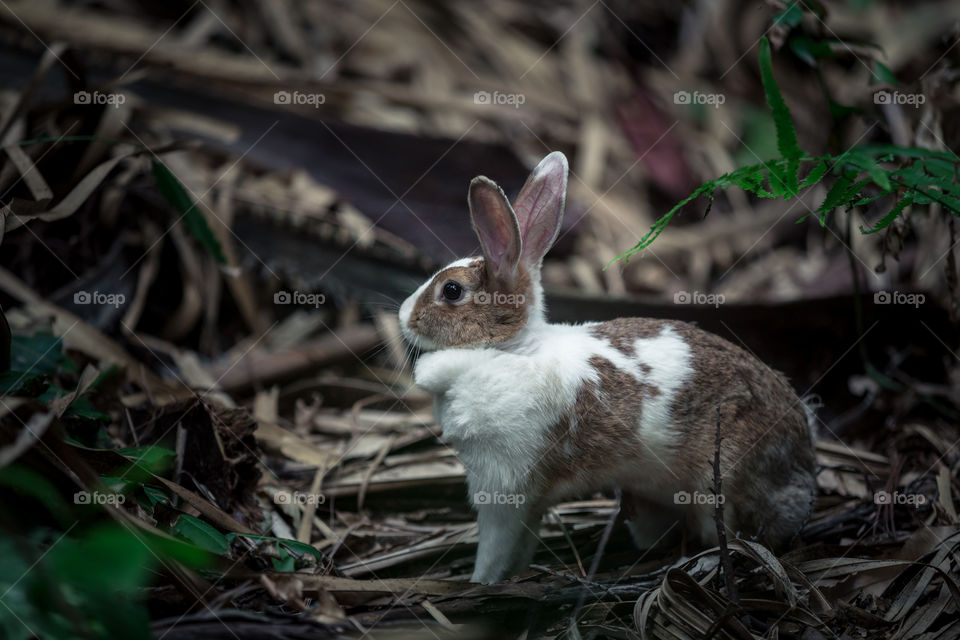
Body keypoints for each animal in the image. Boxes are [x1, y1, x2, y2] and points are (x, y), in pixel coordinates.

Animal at [398, 152, 816, 584]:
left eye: (451, 291)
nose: (402, 316)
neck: (511, 349)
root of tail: (805, 453)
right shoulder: (527, 502)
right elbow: (522, 545)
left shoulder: (503, 488)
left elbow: (494, 551)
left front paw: (479, 584)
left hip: (724, 482)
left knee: (741, 534)